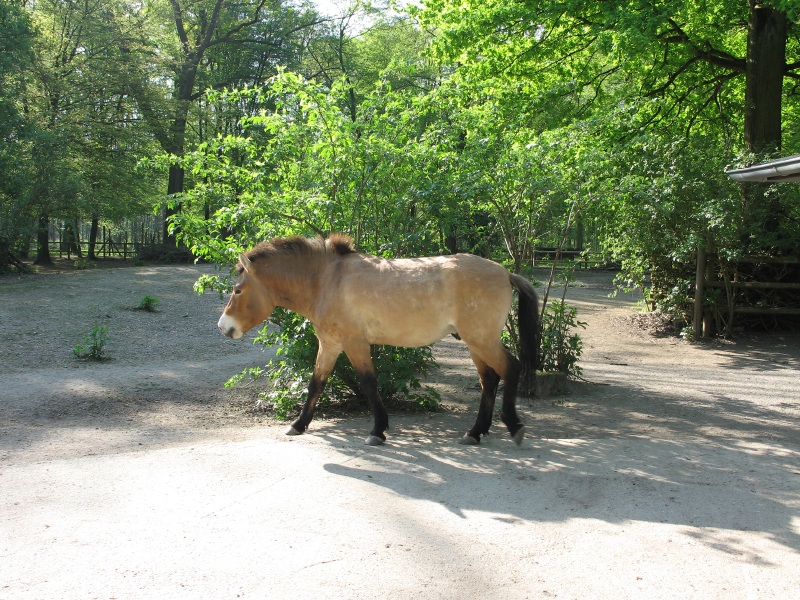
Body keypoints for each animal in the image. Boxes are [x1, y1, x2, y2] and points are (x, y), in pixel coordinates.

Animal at [217, 234, 536, 446]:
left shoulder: (354, 343)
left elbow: (369, 384)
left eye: (237, 290)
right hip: (475, 343)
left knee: (511, 368)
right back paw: (475, 432)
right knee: (489, 379)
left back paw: (513, 425)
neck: (326, 280)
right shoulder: (330, 344)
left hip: (481, 340)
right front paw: (298, 424)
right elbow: (316, 383)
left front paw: (377, 431)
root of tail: (504, 272)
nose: (224, 327)